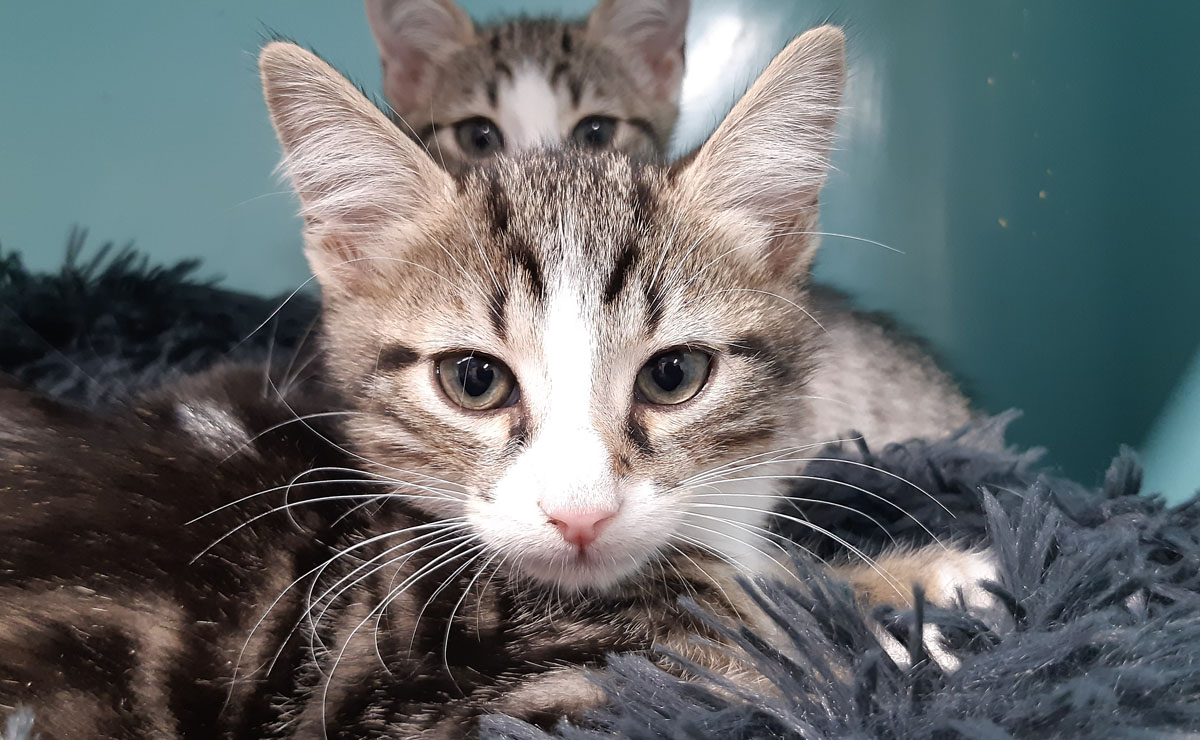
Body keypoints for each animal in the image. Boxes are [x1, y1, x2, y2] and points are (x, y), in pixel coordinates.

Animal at [0, 26, 988, 739]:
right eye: (474, 380)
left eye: (675, 375)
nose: (580, 516)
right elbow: (787, 667)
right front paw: (911, 634)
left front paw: (932, 577)